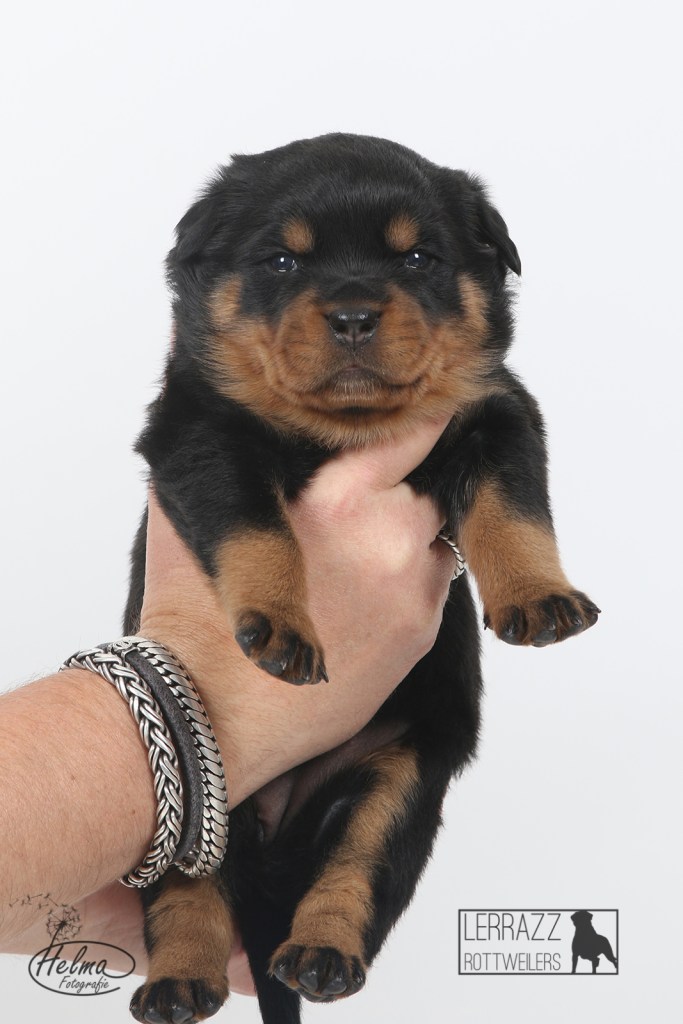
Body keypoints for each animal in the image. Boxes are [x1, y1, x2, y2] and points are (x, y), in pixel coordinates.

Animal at [124, 133, 600, 1023]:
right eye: (281, 260)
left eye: (417, 258)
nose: (351, 315)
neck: (343, 430)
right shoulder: (201, 434)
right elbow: (257, 530)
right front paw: (282, 625)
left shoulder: (497, 412)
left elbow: (513, 508)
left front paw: (538, 596)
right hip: (191, 805)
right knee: (188, 888)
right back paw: (180, 978)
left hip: (398, 775)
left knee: (356, 864)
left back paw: (319, 954)